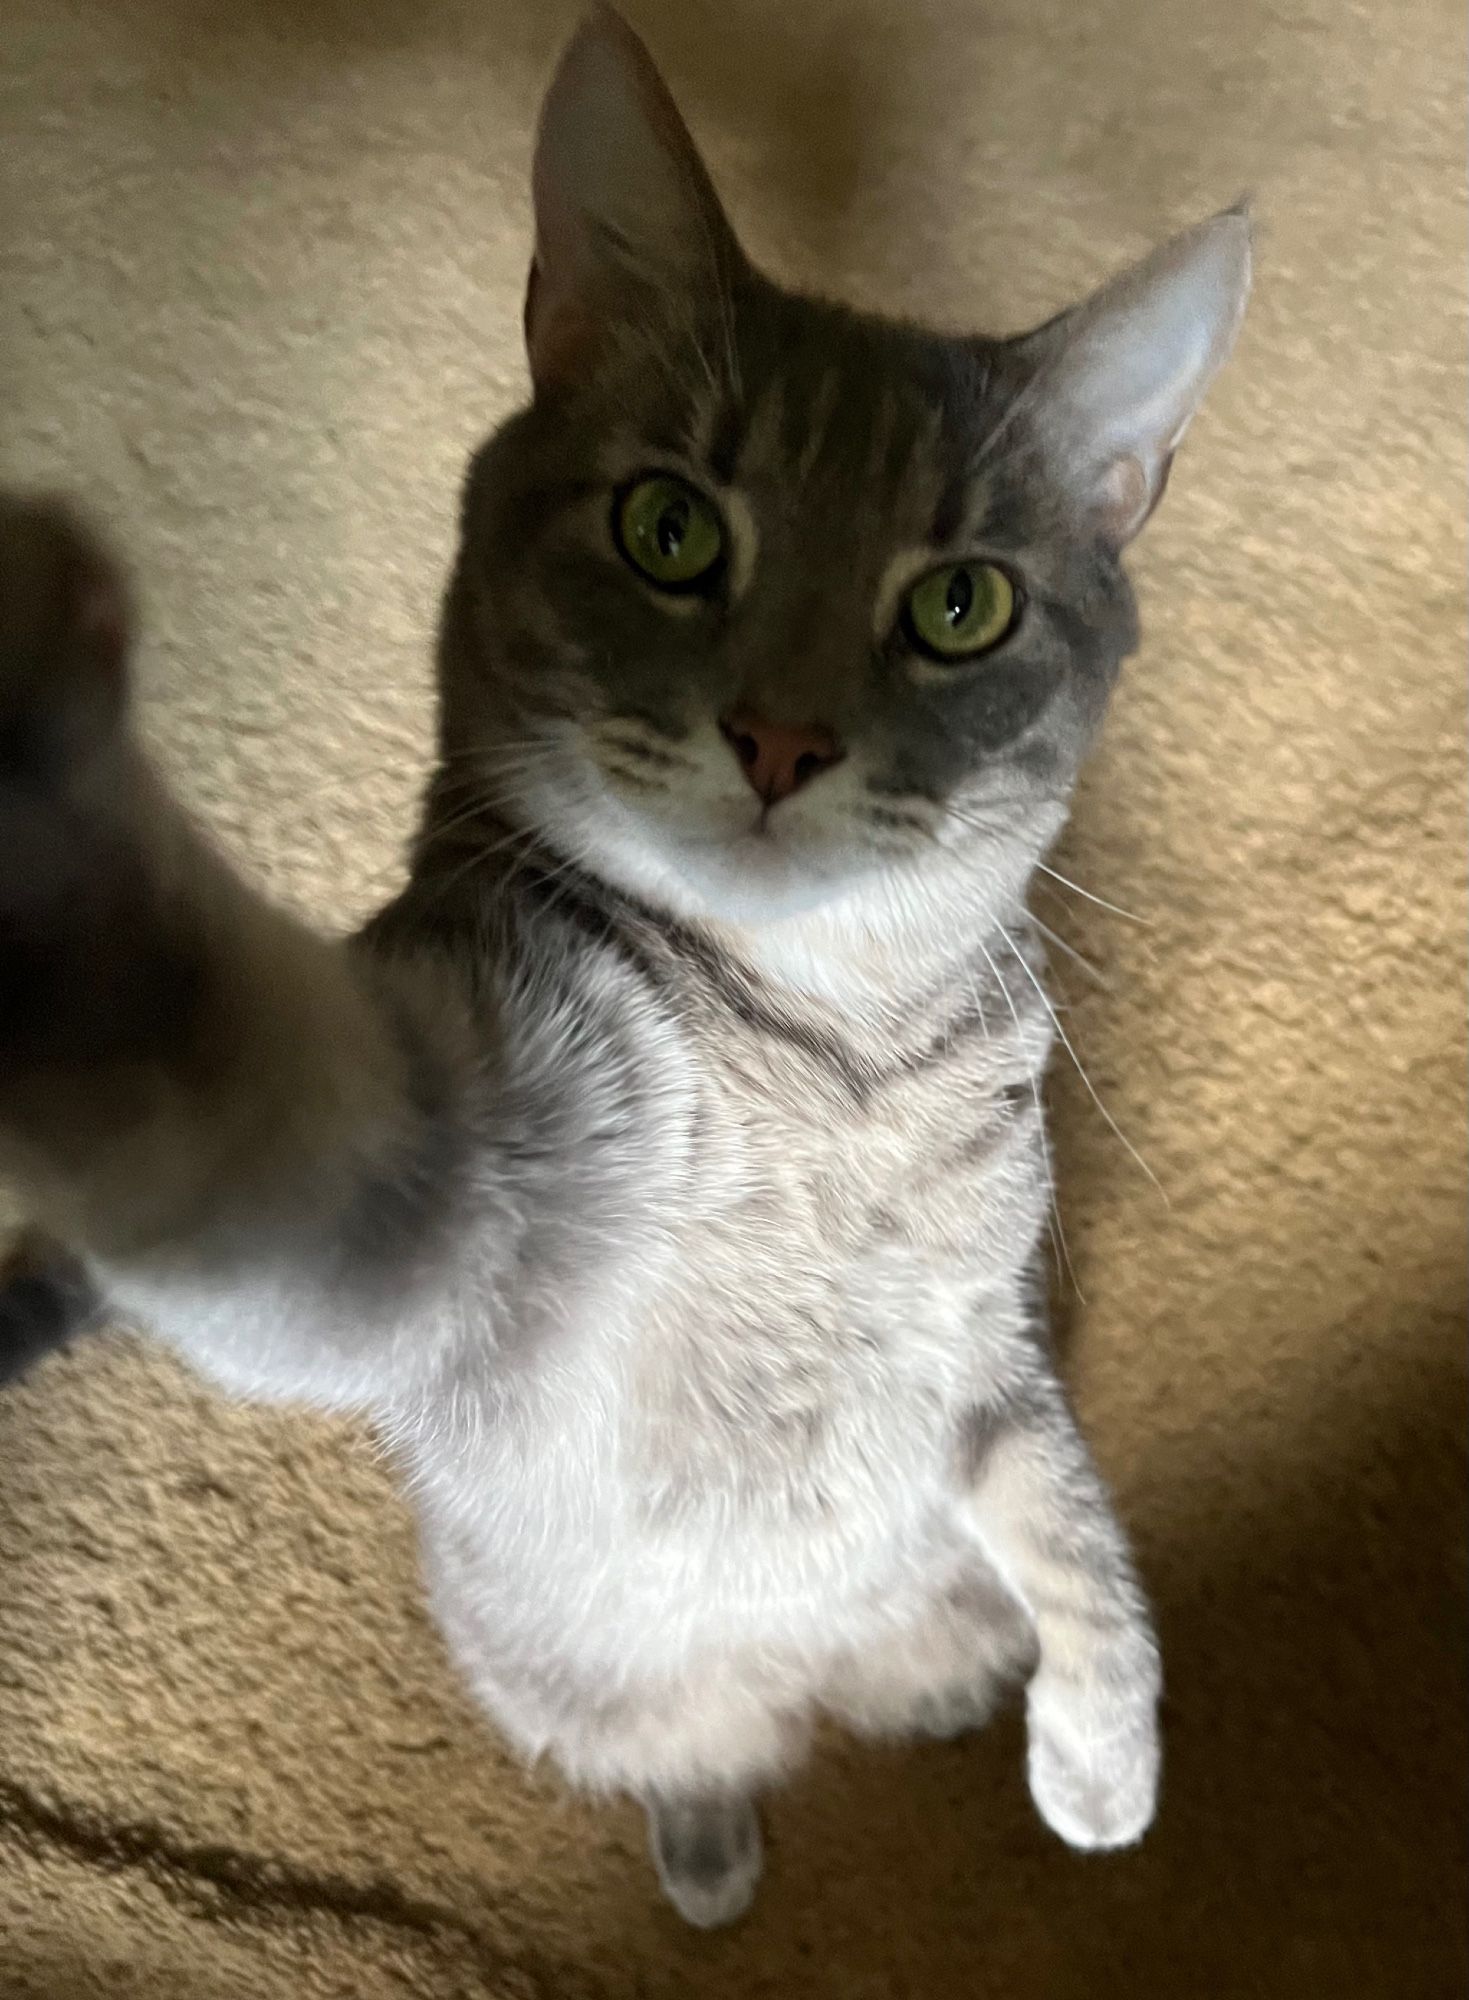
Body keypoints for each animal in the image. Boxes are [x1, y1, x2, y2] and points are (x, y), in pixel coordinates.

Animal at [0, 7, 1256, 1928]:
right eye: (671, 529)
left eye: (957, 605)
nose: (780, 737)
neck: (836, 1055)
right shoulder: (448, 1187)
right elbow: (238, 1095)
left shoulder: (984, 1354)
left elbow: (1074, 1530)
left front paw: (1104, 1752)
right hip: (576, 1684)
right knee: (700, 1751)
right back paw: (713, 1851)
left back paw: (933, 1698)